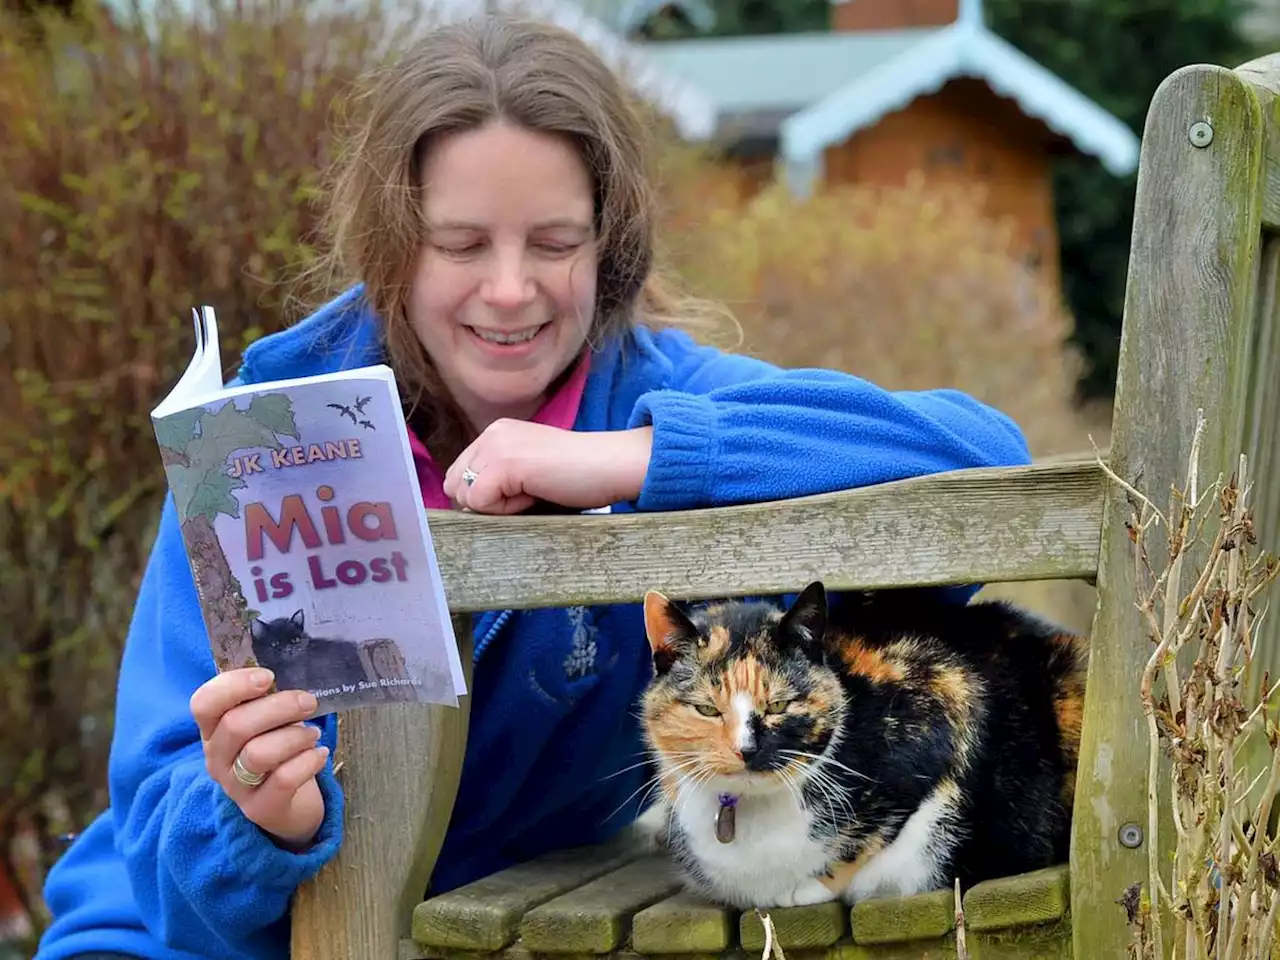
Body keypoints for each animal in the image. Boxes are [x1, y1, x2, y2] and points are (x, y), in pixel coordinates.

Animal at [634, 586, 1085, 911]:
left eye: (779, 705)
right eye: (707, 709)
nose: (746, 750)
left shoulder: (949, 697)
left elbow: (878, 832)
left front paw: (808, 886)